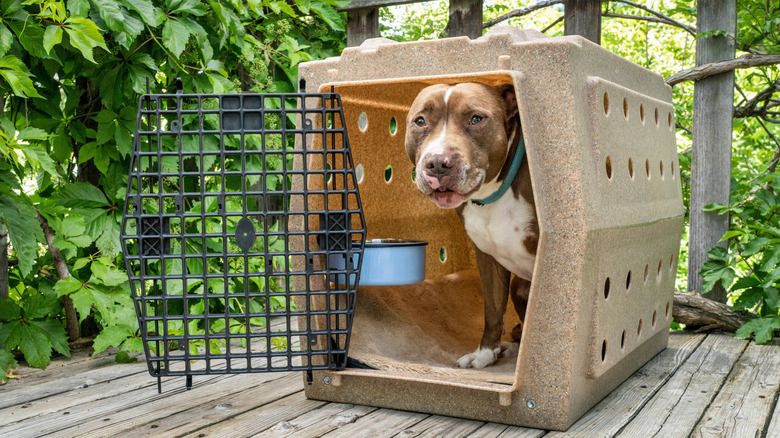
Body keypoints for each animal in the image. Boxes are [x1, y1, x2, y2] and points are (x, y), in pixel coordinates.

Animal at [402, 80, 536, 368]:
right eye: (420, 121)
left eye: (476, 119)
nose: (437, 163)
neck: (493, 192)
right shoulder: (488, 259)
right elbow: (493, 310)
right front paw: (484, 354)